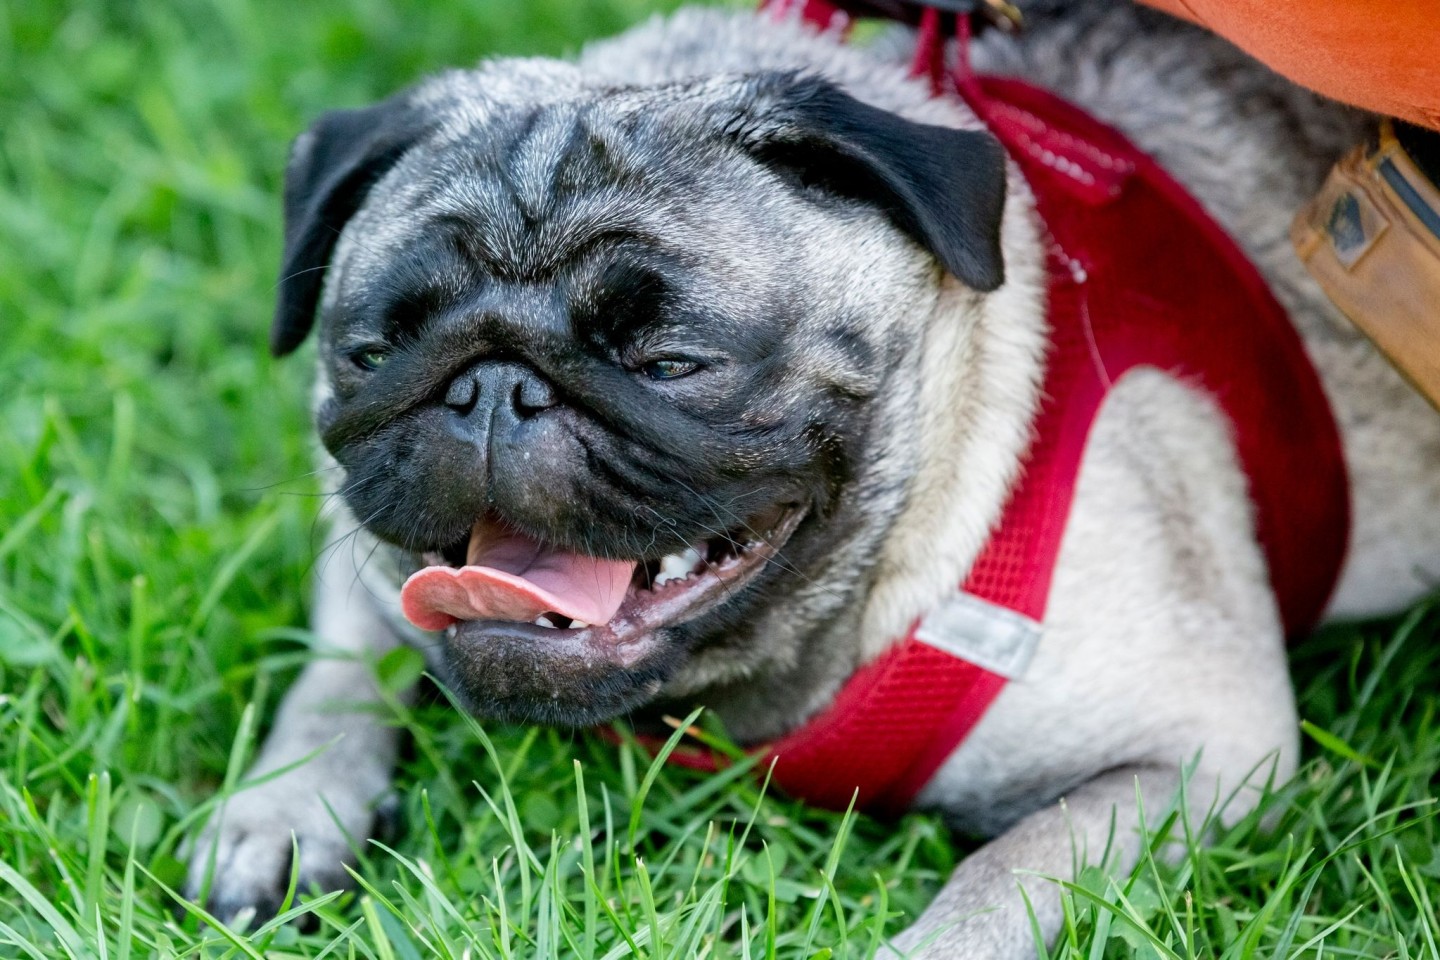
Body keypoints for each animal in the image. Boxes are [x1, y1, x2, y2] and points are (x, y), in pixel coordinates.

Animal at [188, 3, 1440, 955]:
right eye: (374, 352)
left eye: (672, 363)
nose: (494, 386)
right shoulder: (363, 556)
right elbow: (342, 667)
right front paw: (284, 807)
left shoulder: (1203, 754)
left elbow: (1004, 874)